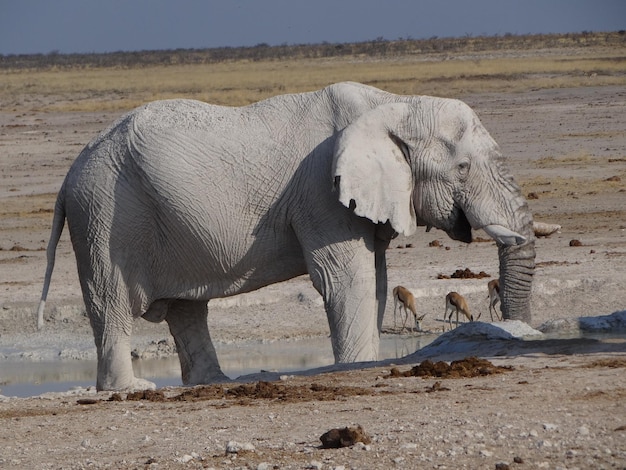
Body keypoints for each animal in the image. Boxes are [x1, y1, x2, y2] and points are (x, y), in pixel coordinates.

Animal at [36, 82, 532, 392]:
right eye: (462, 169)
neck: (395, 103)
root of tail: (68, 178)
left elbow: (377, 279)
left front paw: (369, 364)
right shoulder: (321, 193)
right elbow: (345, 281)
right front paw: (355, 367)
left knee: (187, 310)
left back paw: (216, 383)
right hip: (104, 218)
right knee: (113, 303)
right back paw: (131, 387)